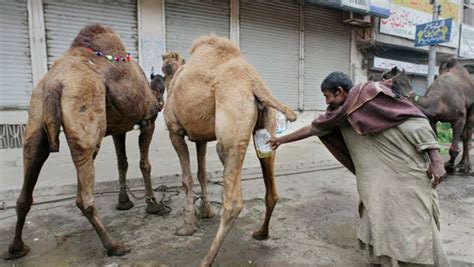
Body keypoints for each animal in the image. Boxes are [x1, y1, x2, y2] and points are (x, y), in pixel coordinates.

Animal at [4, 24, 165, 260]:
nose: (161, 104)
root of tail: (54, 83)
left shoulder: (118, 129)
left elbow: (122, 163)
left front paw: (124, 202)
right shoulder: (147, 121)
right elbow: (144, 164)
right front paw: (153, 205)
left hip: (35, 119)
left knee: (28, 179)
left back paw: (16, 248)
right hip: (85, 120)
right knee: (84, 193)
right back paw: (114, 246)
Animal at [163, 35, 296, 267]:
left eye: (163, 68)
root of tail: (254, 83)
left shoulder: (175, 130)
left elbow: (187, 178)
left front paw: (187, 226)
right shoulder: (200, 137)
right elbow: (202, 173)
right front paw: (205, 212)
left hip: (230, 133)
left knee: (234, 202)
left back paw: (206, 259)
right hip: (266, 128)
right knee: (271, 190)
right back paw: (261, 233)